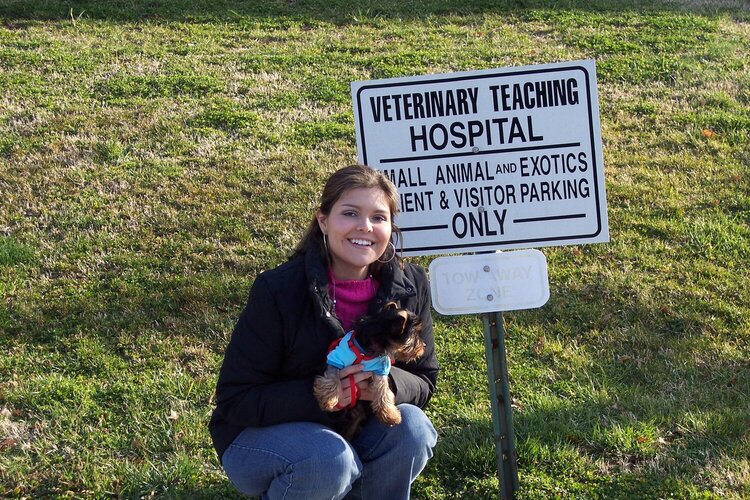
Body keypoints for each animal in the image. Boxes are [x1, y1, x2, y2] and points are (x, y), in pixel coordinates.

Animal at [314, 300, 426, 438]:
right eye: (414, 335)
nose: (423, 346)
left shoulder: (379, 368)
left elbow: (383, 390)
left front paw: (390, 415)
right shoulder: (336, 358)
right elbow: (332, 377)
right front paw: (329, 400)